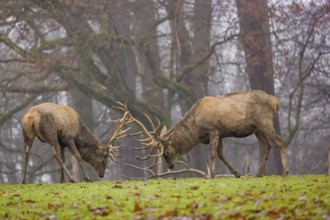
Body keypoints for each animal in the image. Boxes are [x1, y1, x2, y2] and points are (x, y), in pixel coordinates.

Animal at [120, 90, 288, 178]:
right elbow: (220, 154)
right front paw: (237, 173)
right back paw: (258, 174)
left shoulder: (214, 130)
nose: (171, 166)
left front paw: (212, 175)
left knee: (279, 141)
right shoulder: (219, 134)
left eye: (166, 152)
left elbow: (213, 153)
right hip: (257, 128)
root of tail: (275, 102)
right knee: (267, 146)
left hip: (264, 121)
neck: (197, 130)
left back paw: (285, 171)